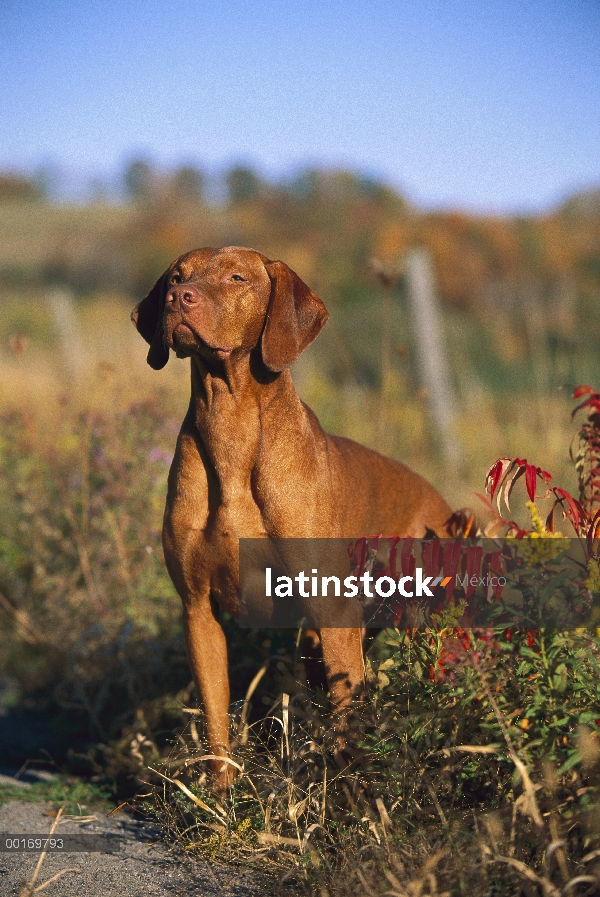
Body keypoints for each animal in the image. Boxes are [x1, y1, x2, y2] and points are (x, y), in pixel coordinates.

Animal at [131, 243, 450, 784]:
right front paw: (222, 797)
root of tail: (443, 503)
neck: (231, 429)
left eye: (237, 278)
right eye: (176, 276)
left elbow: (346, 718)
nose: (178, 298)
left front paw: (350, 795)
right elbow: (215, 720)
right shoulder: (198, 610)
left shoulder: (334, 609)